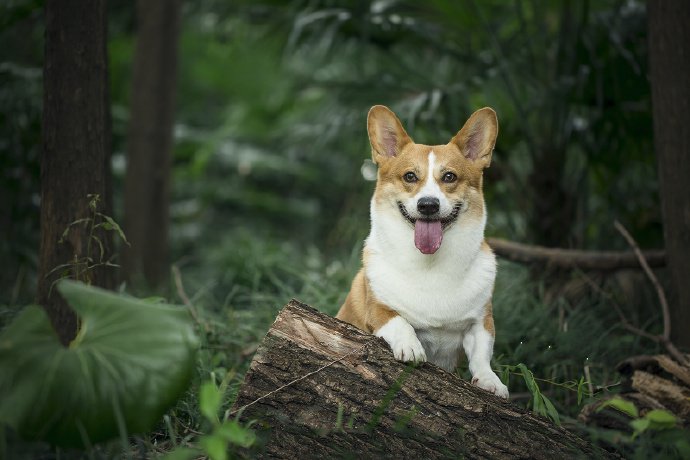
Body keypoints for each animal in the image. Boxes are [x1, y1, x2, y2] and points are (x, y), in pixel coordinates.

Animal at [336, 106, 508, 398]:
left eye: (449, 177)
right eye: (410, 176)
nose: (428, 205)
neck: (430, 264)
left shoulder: (481, 321)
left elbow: (482, 355)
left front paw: (490, 380)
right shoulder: (378, 308)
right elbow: (398, 320)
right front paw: (411, 347)